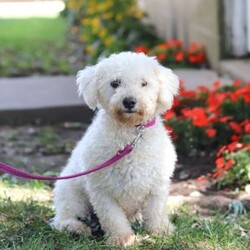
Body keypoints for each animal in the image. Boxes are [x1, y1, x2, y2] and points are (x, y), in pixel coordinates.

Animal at [51, 50, 180, 246]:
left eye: (144, 83)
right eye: (115, 83)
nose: (129, 101)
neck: (130, 134)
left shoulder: (157, 186)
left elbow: (155, 211)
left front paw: (160, 231)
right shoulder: (102, 191)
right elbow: (113, 218)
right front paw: (122, 238)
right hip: (71, 193)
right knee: (62, 219)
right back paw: (76, 228)